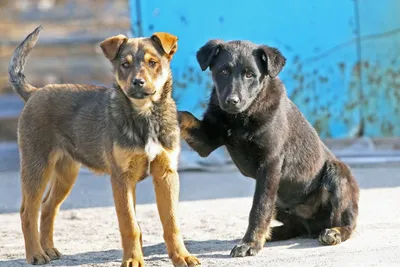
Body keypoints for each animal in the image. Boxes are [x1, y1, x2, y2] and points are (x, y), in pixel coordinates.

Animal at [6, 25, 200, 267]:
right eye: (125, 64)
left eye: (152, 62)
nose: (138, 82)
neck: (144, 115)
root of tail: (34, 92)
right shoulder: (121, 178)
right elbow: (129, 225)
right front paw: (133, 259)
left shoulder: (166, 174)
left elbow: (171, 222)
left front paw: (182, 256)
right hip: (37, 166)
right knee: (28, 211)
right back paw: (35, 254)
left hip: (66, 172)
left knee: (48, 207)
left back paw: (48, 249)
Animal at [178, 40, 360, 258]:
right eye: (223, 71)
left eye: (250, 74)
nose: (232, 101)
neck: (240, 117)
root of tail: (314, 227)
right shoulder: (206, 140)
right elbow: (184, 115)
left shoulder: (270, 163)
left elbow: (259, 208)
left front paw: (250, 243)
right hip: (281, 202)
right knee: (294, 227)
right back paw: (272, 234)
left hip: (336, 173)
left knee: (347, 224)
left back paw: (335, 232)